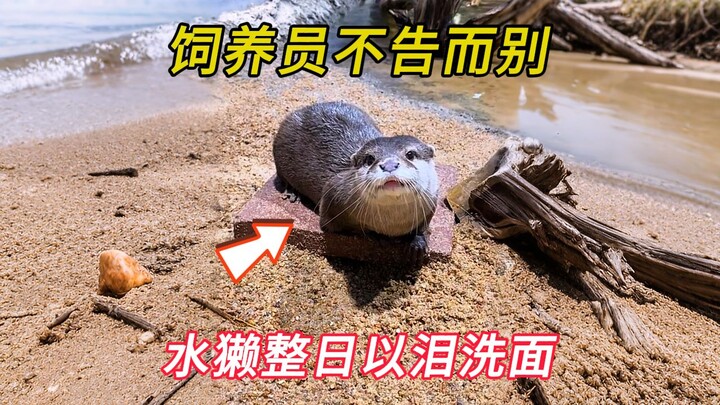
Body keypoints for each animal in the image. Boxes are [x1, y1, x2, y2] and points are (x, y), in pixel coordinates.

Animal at [273, 102, 439, 266]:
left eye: (410, 154)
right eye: (370, 159)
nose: (389, 165)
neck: (392, 223)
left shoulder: (432, 200)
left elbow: (424, 225)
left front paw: (417, 242)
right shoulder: (332, 196)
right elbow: (339, 227)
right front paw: (376, 236)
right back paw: (292, 193)